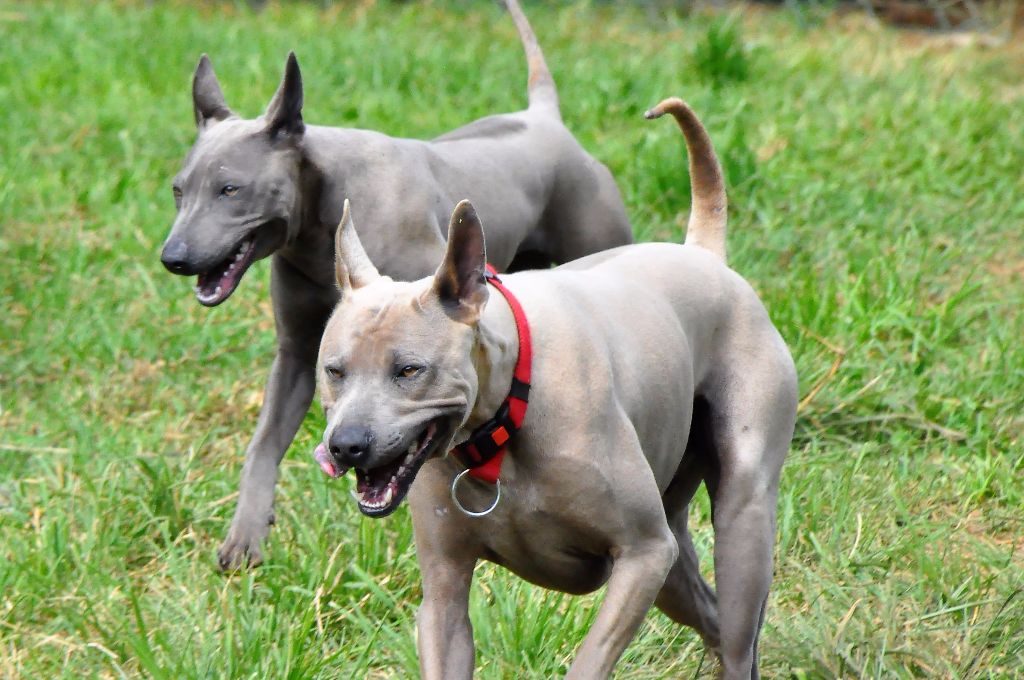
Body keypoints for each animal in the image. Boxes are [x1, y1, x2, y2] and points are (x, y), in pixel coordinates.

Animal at [315, 100, 794, 680]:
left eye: (409, 370)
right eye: (334, 371)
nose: (346, 446)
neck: (505, 419)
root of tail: (704, 255)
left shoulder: (644, 554)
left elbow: (589, 659)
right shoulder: (445, 596)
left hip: (741, 519)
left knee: (739, 627)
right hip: (676, 566)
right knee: (715, 620)